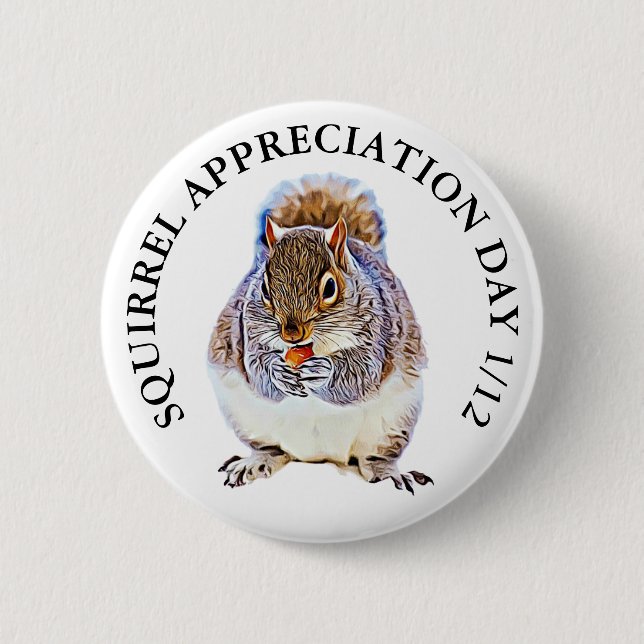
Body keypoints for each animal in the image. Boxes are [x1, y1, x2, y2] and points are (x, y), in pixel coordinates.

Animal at [207, 174, 432, 494]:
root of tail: (319, 457)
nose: (291, 334)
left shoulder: (378, 332)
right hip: (248, 420)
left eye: (329, 288)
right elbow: (257, 369)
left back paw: (388, 474)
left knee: (376, 457)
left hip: (391, 424)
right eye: (264, 288)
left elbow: (361, 375)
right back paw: (255, 463)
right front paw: (277, 371)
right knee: (272, 449)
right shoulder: (246, 331)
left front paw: (324, 370)